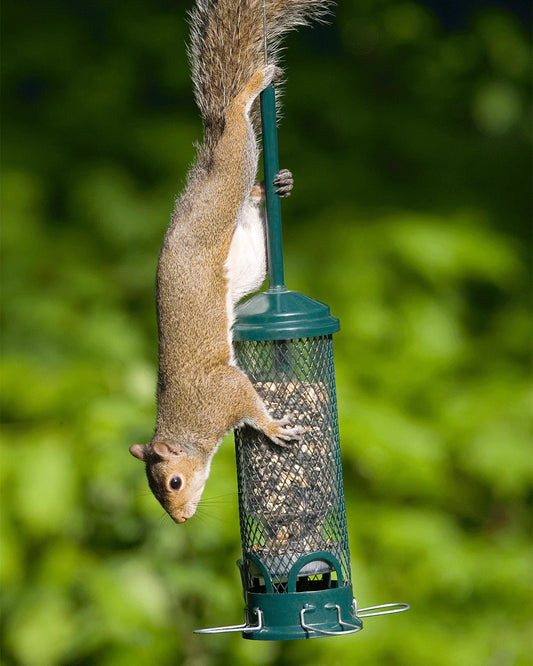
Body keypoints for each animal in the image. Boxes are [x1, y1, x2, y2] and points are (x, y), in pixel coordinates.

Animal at [129, 0, 331, 524]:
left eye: (174, 482)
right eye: (158, 493)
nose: (181, 518)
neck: (187, 426)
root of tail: (201, 174)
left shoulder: (223, 392)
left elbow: (249, 403)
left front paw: (272, 427)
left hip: (228, 176)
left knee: (237, 129)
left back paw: (249, 91)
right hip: (244, 244)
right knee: (252, 211)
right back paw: (274, 188)